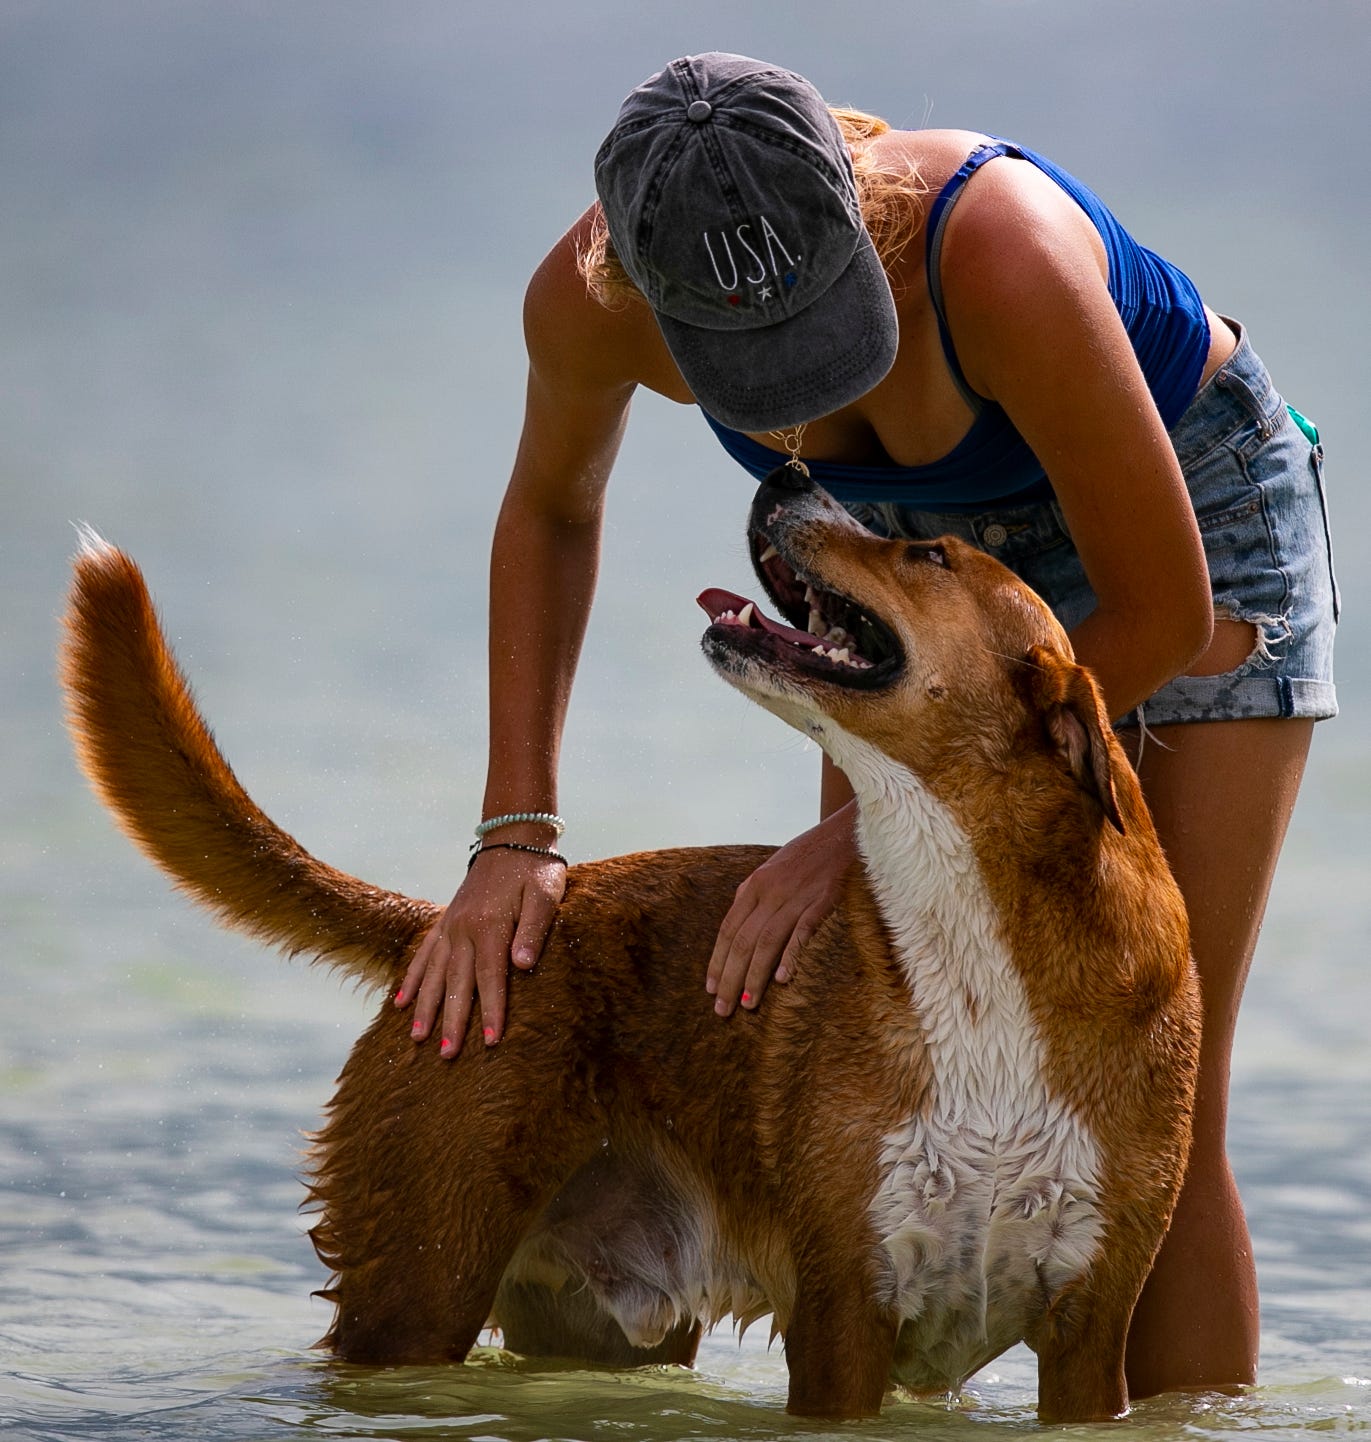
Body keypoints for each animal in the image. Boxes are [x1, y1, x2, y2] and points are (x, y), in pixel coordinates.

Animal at [61, 467, 1199, 1424]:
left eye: (930, 553)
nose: (786, 473)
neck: (970, 938)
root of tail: (443, 924)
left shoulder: (1091, 1329)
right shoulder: (844, 1313)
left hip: (586, 1320)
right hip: (415, 1291)